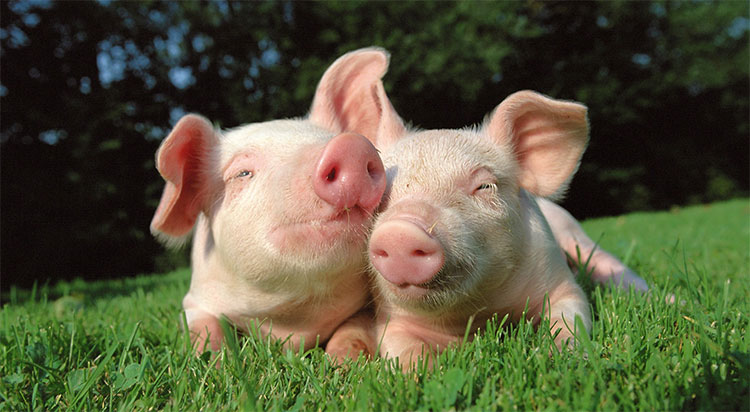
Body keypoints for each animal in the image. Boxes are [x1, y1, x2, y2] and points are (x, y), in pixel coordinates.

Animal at [149, 48, 402, 360]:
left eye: (334, 139)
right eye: (242, 173)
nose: (351, 146)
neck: (291, 322)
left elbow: (353, 328)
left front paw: (343, 362)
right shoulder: (195, 298)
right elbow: (203, 327)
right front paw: (213, 360)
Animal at [363, 89, 594, 368]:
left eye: (484, 186)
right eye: (381, 196)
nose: (400, 232)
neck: (476, 315)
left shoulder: (561, 282)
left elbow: (570, 319)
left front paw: (563, 359)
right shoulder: (390, 320)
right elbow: (404, 351)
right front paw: (421, 373)